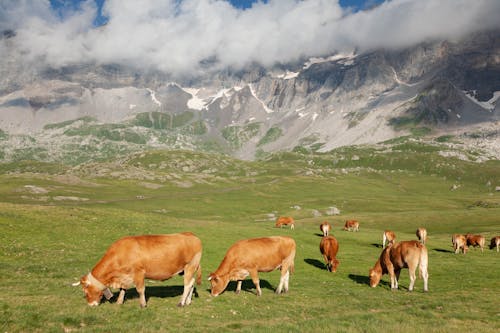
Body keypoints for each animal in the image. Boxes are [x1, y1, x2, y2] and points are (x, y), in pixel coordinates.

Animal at [71, 231, 203, 306]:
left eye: (85, 291)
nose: (90, 305)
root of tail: (191, 235)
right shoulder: (125, 276)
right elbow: (122, 289)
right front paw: (119, 302)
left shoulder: (139, 273)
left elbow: (140, 289)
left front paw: (143, 304)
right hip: (187, 269)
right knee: (192, 283)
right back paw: (188, 301)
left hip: (190, 266)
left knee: (187, 284)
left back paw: (181, 302)